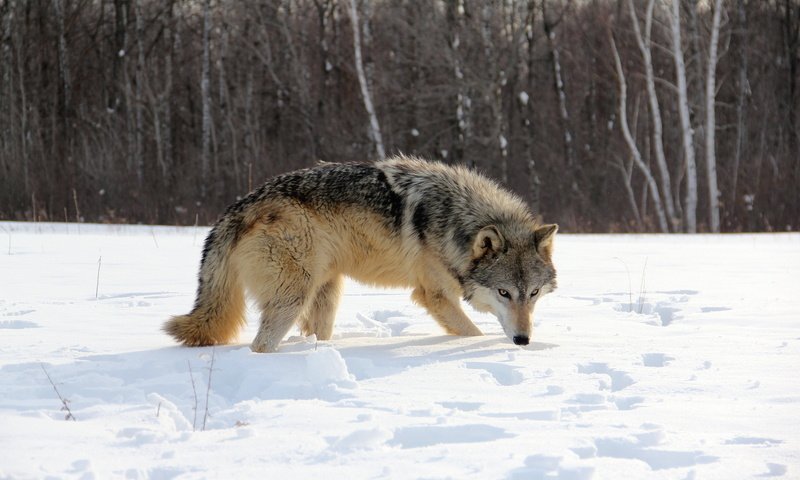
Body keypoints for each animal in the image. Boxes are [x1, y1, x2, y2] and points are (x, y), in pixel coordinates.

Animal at [164, 156, 556, 350]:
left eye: (534, 293)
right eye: (504, 292)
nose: (523, 341)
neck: (453, 219)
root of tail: (238, 207)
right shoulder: (434, 296)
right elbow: (473, 333)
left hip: (327, 291)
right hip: (293, 298)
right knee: (260, 346)